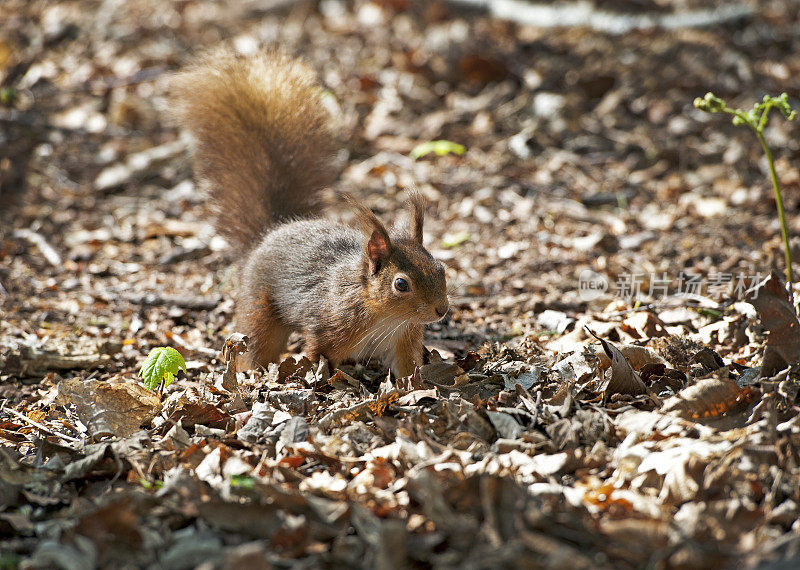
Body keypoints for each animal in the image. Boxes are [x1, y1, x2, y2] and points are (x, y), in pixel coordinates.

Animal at [173, 51, 450, 374]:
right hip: (259, 308)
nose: (442, 309)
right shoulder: (327, 327)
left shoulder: (405, 338)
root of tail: (270, 233)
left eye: (441, 269)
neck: (385, 317)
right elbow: (319, 357)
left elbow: (407, 368)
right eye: (401, 284)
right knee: (257, 343)